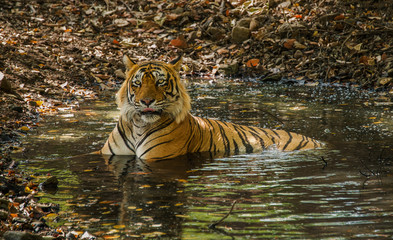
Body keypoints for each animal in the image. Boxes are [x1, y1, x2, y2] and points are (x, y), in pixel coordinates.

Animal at [99, 55, 322, 160]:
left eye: (160, 82)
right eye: (138, 83)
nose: (146, 101)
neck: (139, 126)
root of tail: (317, 141)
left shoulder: (156, 157)